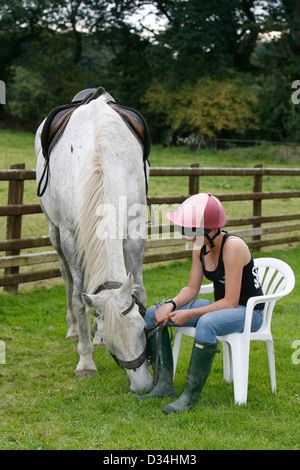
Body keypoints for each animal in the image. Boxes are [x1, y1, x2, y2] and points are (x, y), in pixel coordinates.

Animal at [34, 89, 152, 392]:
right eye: (114, 347)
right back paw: (74, 328)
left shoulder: (134, 229)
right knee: (67, 276)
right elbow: (78, 298)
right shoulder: (69, 236)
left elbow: (138, 288)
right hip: (55, 233)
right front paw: (86, 360)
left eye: (142, 330)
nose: (142, 387)